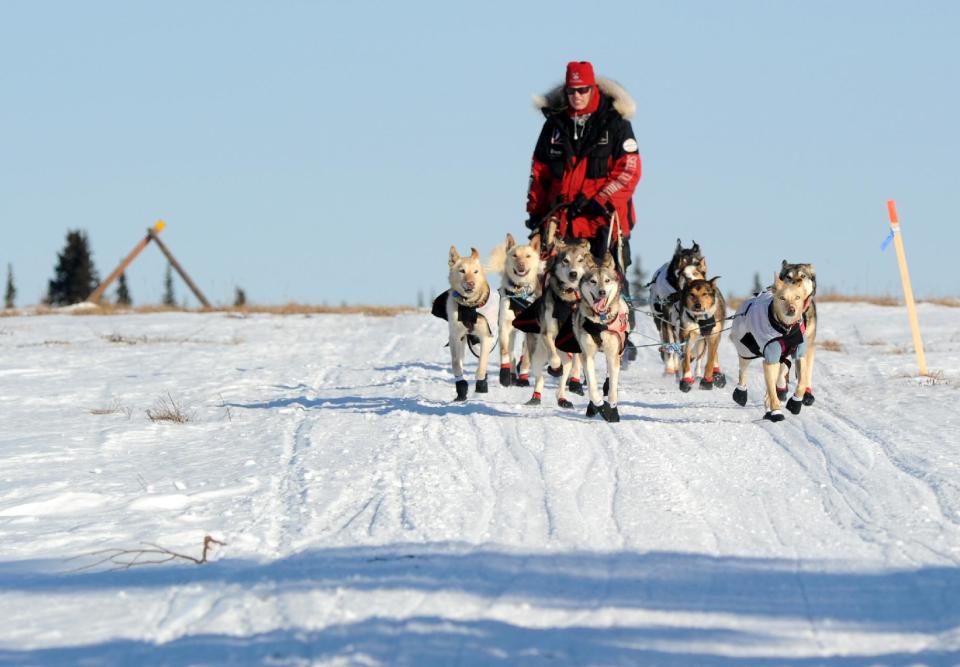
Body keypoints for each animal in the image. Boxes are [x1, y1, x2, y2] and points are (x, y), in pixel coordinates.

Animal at [732, 272, 808, 422]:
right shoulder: (770, 359)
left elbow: (802, 383)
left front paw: (795, 403)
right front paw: (776, 411)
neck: (785, 329)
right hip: (746, 350)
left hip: (779, 360)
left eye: (797, 297)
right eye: (782, 297)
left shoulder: (799, 355)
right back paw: (741, 393)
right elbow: (772, 391)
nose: (792, 309)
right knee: (743, 372)